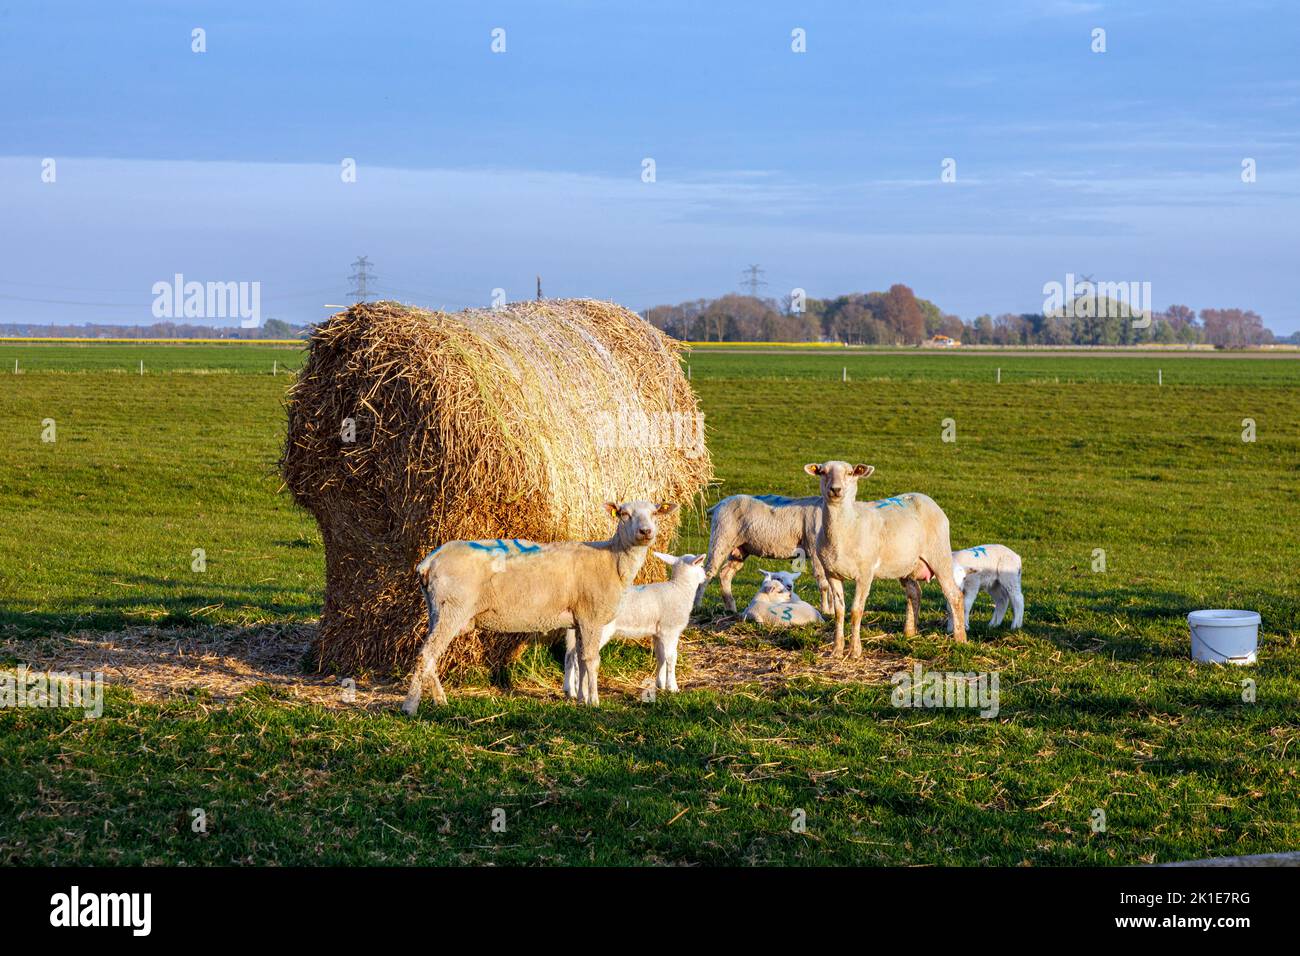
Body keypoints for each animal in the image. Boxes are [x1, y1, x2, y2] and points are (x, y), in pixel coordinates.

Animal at [403, 500, 678, 713]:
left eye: (655, 513)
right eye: (624, 514)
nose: (646, 531)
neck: (612, 560)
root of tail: (430, 560)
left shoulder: (579, 618)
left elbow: (579, 659)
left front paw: (581, 699)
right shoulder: (591, 616)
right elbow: (591, 660)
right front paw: (594, 701)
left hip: (437, 610)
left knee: (429, 655)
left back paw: (440, 701)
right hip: (452, 609)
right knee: (427, 654)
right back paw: (410, 707)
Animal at [562, 552, 706, 698]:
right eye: (701, 565)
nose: (705, 577)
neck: (680, 589)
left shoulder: (658, 633)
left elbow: (661, 657)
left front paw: (660, 684)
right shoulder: (670, 631)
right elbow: (671, 658)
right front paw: (672, 687)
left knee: (569, 656)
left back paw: (570, 691)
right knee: (579, 658)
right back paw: (580, 691)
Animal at [804, 460, 967, 657]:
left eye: (850, 473)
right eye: (822, 472)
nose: (835, 490)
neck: (848, 527)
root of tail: (926, 498)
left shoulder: (865, 574)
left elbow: (856, 611)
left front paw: (855, 651)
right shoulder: (832, 573)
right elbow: (839, 612)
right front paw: (836, 650)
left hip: (940, 555)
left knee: (954, 595)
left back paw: (960, 639)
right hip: (906, 564)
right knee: (915, 592)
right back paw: (909, 633)